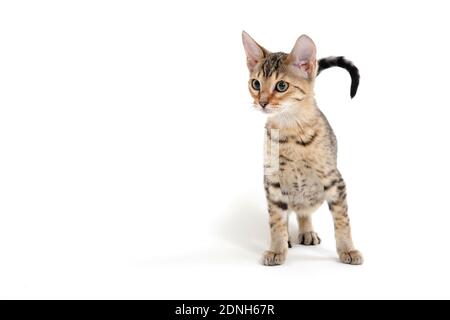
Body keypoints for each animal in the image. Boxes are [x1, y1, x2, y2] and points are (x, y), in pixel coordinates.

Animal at [243, 31, 362, 264]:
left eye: (281, 86)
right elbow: (276, 221)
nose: (262, 102)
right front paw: (277, 249)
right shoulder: (272, 182)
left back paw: (307, 231)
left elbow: (342, 220)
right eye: (256, 84)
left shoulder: (334, 180)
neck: (291, 130)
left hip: (315, 194)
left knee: (304, 210)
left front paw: (348, 249)